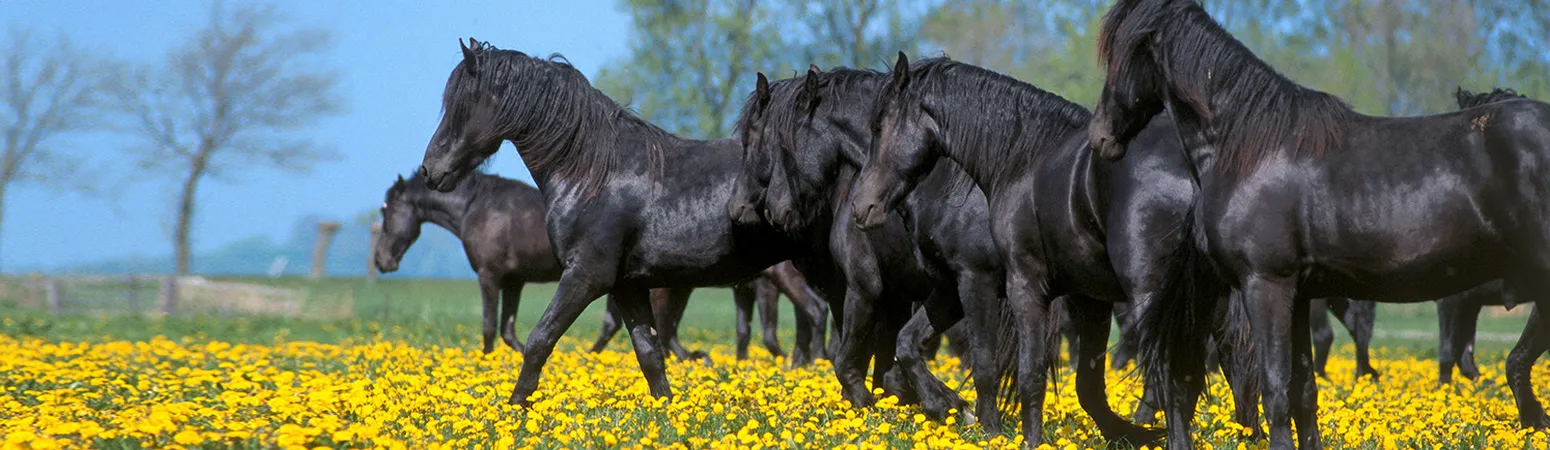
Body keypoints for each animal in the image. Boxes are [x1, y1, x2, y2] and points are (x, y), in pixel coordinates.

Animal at [372, 171, 825, 362]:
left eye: (387, 210)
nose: (382, 260)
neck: (477, 207)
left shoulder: (489, 277)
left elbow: (488, 327)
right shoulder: (515, 281)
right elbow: (509, 330)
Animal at [417, 39, 810, 406]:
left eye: (462, 104)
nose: (430, 169)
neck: (593, 173)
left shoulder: (586, 276)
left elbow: (540, 339)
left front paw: (516, 410)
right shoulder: (627, 286)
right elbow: (650, 356)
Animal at [729, 66, 1027, 434]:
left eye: (765, 140)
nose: (750, 209)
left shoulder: (863, 288)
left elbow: (849, 360)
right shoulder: (897, 296)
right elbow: (888, 363)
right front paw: (935, 403)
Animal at [845, 53, 1268, 446]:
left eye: (879, 126)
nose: (862, 207)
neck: (1021, 160)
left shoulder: (1000, 284)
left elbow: (1007, 368)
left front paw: (997, 431)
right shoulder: (1075, 298)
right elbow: (909, 344)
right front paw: (949, 406)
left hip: (1153, 300)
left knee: (1177, 371)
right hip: (1201, 300)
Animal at [1089, 1, 1550, 448]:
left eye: (1118, 53)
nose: (1100, 137)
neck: (1253, 148)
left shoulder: (1266, 285)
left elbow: (1276, 389)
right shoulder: (1299, 295)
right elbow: (1303, 392)